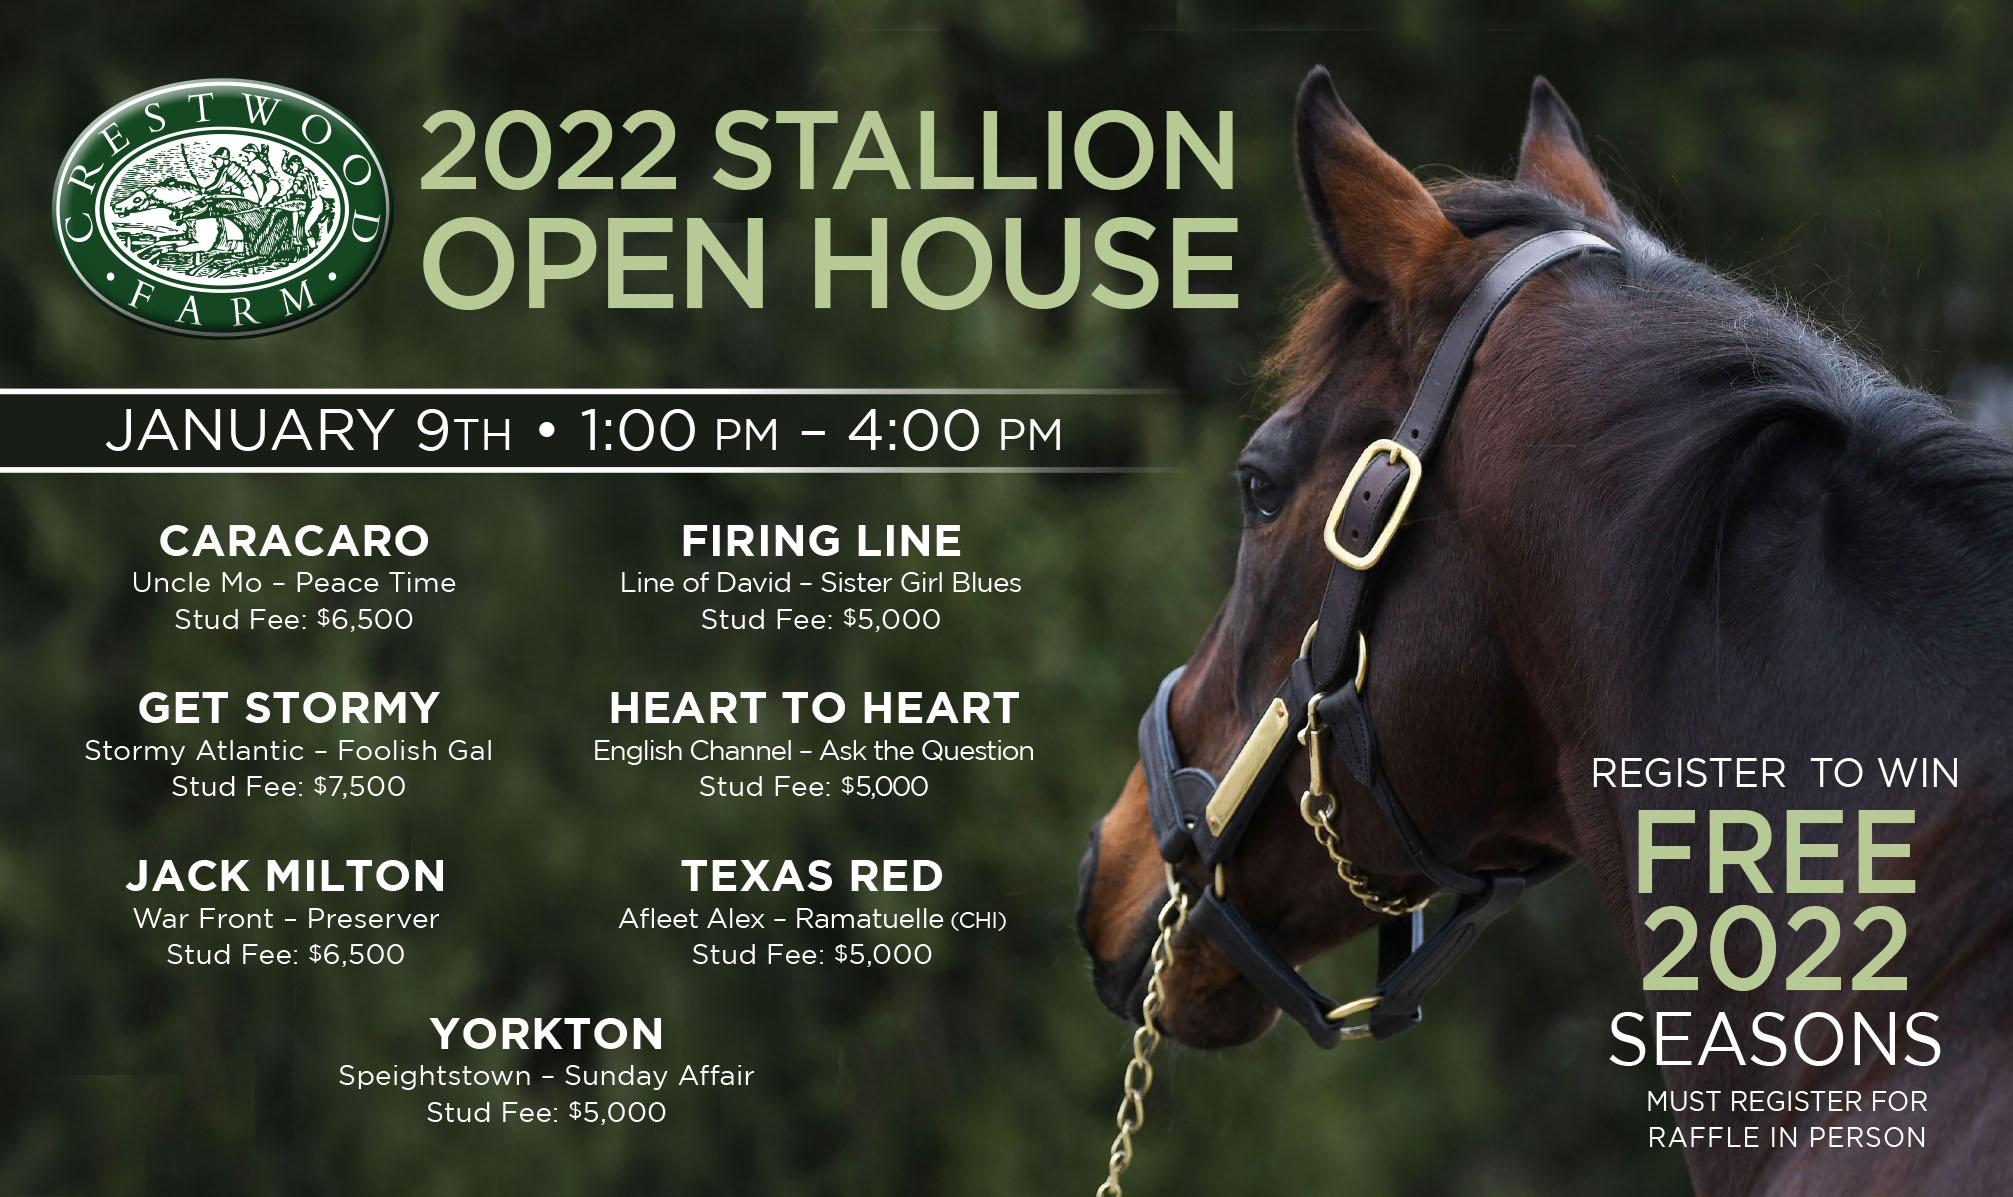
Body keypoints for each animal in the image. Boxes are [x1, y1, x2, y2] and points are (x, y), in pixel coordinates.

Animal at [109, 181, 247, 258]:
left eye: (137, 199)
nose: (116, 207)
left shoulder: (202, 246)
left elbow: (167, 247)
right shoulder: (189, 239)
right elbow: (161, 242)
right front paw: (141, 252)